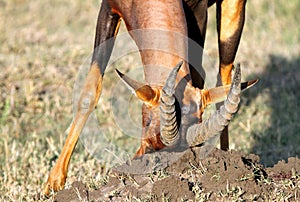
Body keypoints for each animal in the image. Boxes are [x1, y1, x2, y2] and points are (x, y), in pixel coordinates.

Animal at [43, 0, 256, 196]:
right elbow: (89, 92)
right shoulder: (108, 8)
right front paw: (53, 184)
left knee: (225, 76)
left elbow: (199, 74)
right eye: (147, 124)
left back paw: (227, 156)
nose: (134, 170)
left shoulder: (199, 10)